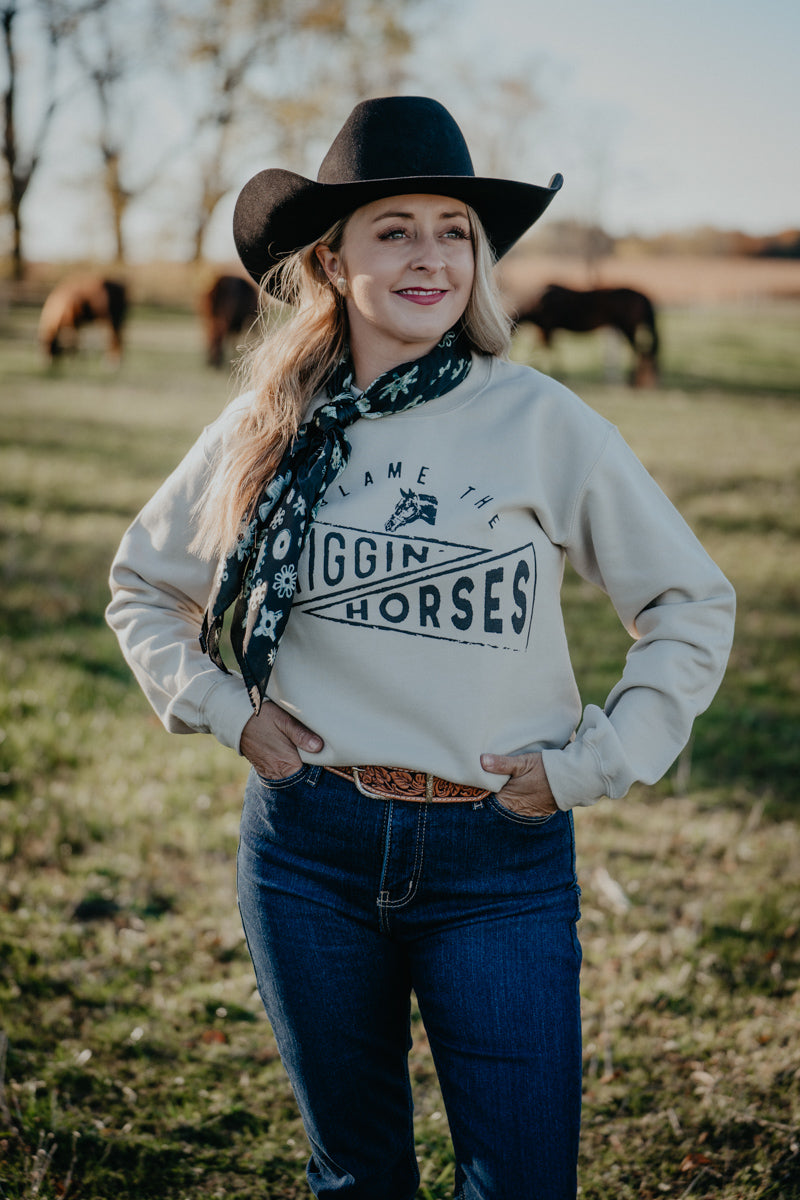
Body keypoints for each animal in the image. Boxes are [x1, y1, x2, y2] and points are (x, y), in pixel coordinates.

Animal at [513, 284, 659, 386]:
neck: (537, 302)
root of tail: (643, 296)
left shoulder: (547, 328)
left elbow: (548, 350)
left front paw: (559, 374)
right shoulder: (546, 329)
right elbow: (545, 349)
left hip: (628, 327)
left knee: (638, 352)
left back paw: (633, 381)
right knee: (644, 352)